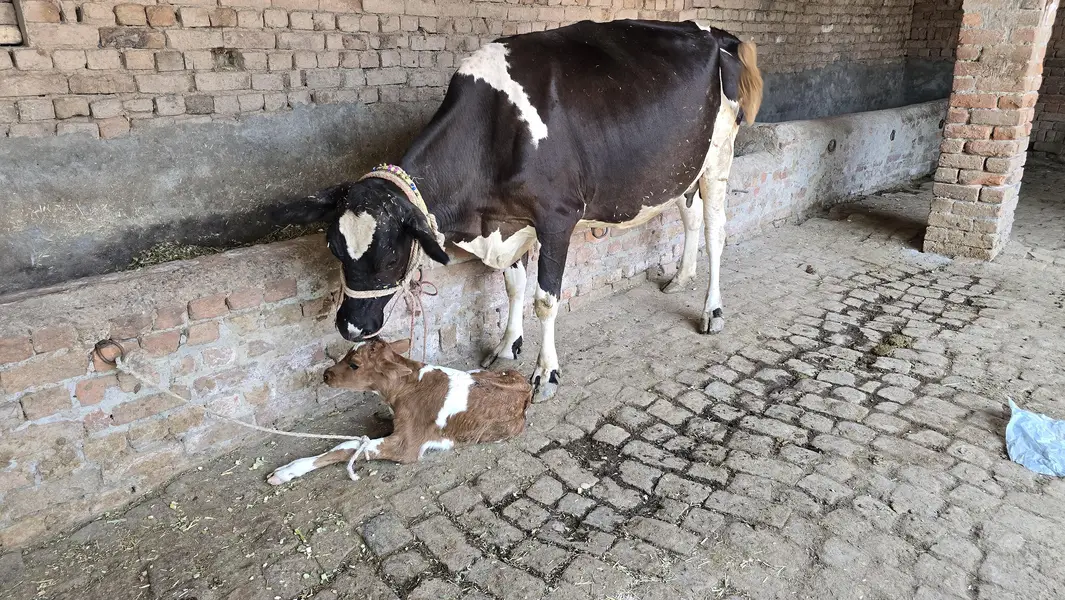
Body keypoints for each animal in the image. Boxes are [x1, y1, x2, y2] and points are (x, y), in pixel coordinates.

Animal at [277, 19, 763, 401]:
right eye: (334, 248)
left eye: (392, 256)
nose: (351, 328)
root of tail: (715, 33)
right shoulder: (509, 219)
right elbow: (513, 286)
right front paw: (507, 345)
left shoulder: (557, 217)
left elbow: (545, 299)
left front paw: (545, 373)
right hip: (681, 166)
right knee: (689, 215)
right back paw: (681, 277)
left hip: (719, 157)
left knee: (716, 231)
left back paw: (712, 311)